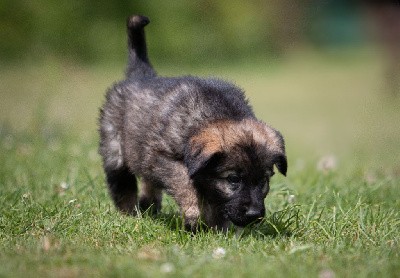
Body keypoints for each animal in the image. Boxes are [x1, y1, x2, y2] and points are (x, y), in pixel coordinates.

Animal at [100, 15, 288, 232]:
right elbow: (185, 184)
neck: (214, 115)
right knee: (122, 184)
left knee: (149, 183)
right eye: (233, 179)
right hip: (114, 149)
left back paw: (149, 208)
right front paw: (194, 216)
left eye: (264, 180)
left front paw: (219, 230)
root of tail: (141, 75)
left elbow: (216, 204)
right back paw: (129, 214)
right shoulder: (163, 158)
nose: (254, 215)